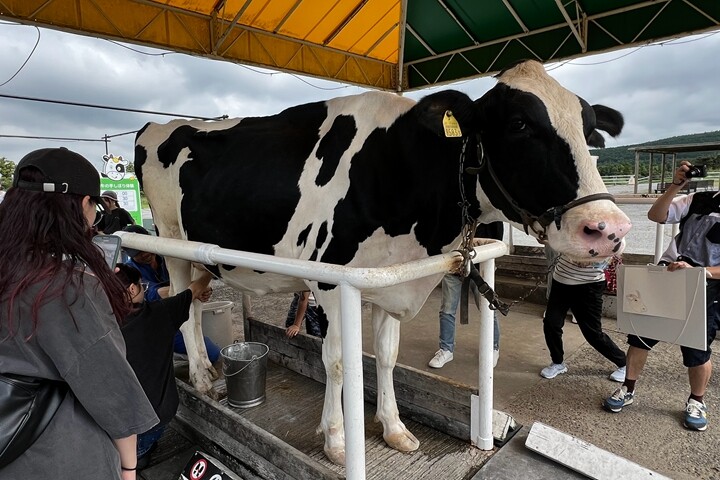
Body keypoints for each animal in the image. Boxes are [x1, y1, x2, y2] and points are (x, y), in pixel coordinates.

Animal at [134, 60, 632, 464]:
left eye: (589, 132)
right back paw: (203, 378)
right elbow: (338, 360)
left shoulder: (391, 282)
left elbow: (387, 358)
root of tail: (157, 126)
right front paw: (337, 440)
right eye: (519, 124)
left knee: (193, 299)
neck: (399, 170)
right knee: (184, 305)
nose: (608, 229)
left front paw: (394, 429)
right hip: (171, 242)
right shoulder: (332, 282)